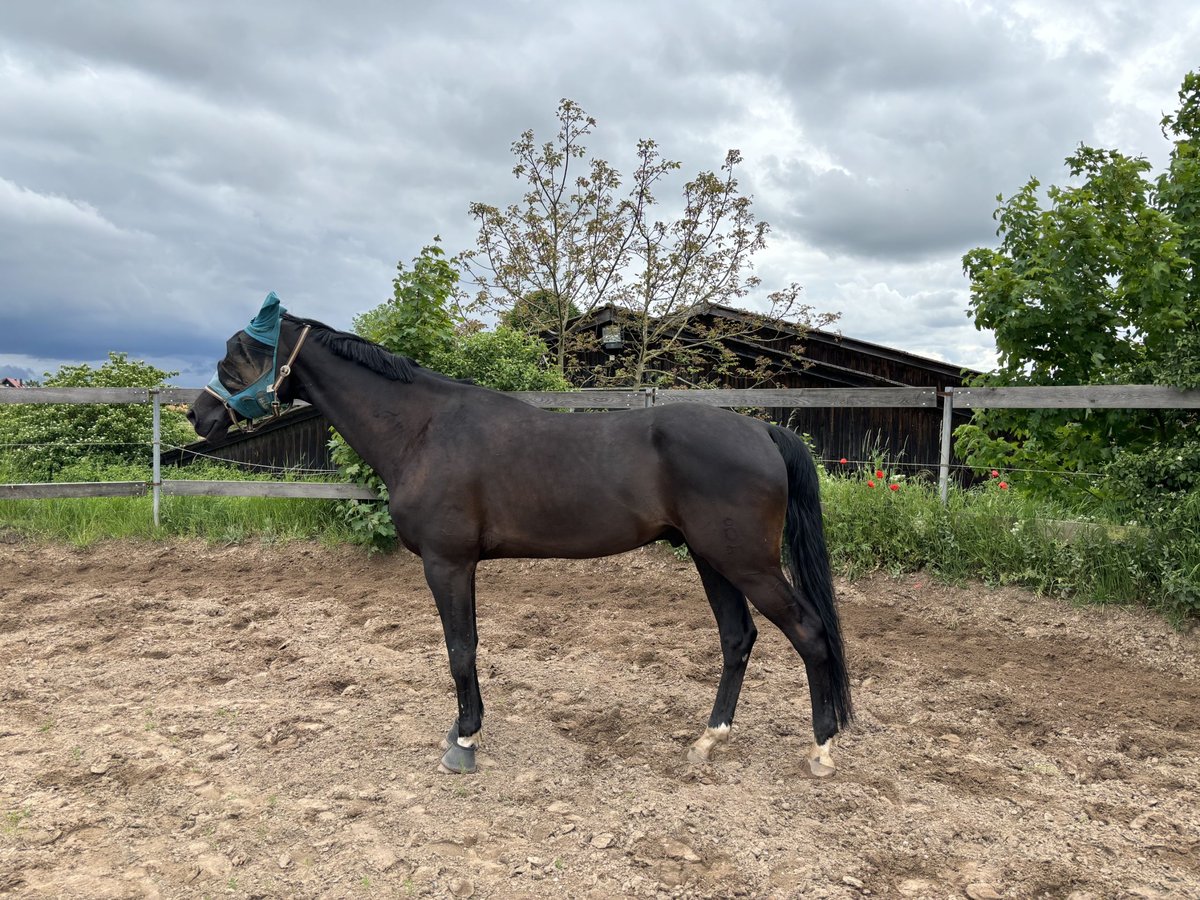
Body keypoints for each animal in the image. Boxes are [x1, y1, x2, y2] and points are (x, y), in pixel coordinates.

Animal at [187, 296, 854, 777]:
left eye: (237, 355)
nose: (198, 414)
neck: (423, 430)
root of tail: (760, 430)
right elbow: (467, 648)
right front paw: (465, 729)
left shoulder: (448, 562)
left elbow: (460, 649)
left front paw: (463, 743)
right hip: (712, 559)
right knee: (738, 638)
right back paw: (708, 741)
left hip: (745, 562)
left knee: (809, 632)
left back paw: (820, 751)